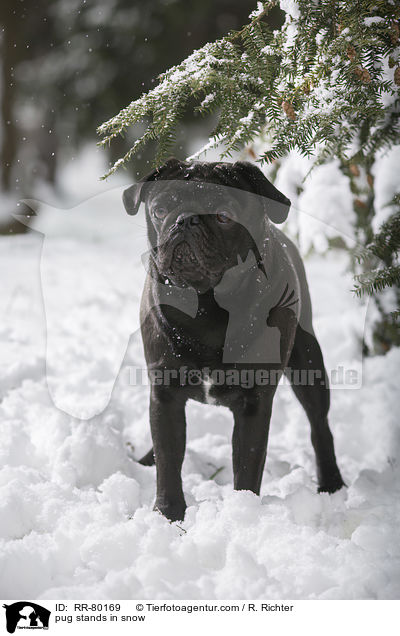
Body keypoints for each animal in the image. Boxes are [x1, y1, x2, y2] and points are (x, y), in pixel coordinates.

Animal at [122, 157, 344, 520]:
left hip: (308, 364)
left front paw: (242, 515)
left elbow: (247, 464)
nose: (185, 220)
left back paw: (332, 484)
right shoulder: (165, 394)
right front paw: (168, 513)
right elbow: (169, 457)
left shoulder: (255, 403)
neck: (207, 306)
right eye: (159, 210)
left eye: (224, 216)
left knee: (319, 426)